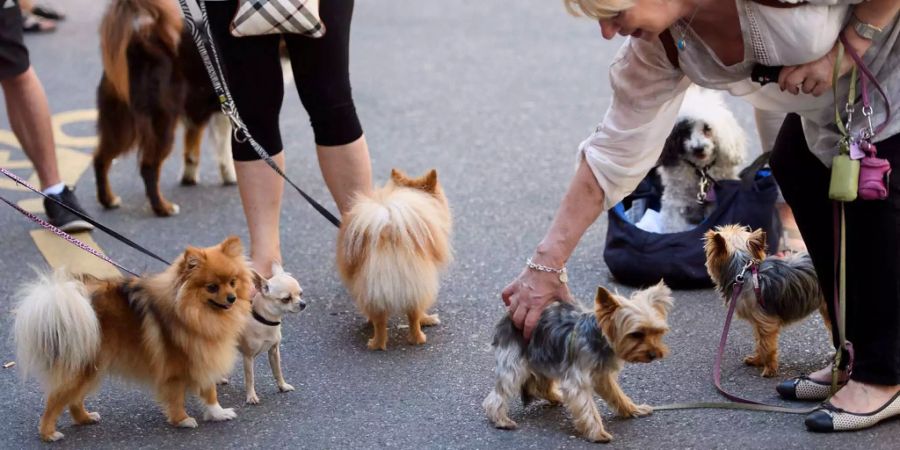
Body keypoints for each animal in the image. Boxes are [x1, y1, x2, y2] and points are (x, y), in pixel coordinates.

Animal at [14, 237, 253, 442]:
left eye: (232, 282)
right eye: (212, 287)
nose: (232, 298)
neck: (193, 312)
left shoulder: (202, 357)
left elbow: (209, 391)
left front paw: (218, 413)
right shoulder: (178, 367)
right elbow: (178, 397)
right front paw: (182, 420)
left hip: (91, 368)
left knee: (73, 400)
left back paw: (85, 418)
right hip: (84, 368)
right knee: (55, 400)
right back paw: (48, 433)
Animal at [95, 0, 234, 218]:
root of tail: (139, 46)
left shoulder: (199, 113)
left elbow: (192, 149)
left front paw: (189, 177)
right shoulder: (227, 110)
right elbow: (226, 148)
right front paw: (230, 176)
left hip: (121, 124)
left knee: (101, 159)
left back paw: (108, 200)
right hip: (162, 124)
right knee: (148, 166)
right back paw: (162, 207)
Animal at [708, 224, 828, 376]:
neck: (744, 272)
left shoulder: (766, 322)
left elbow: (767, 345)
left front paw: (769, 369)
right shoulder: (758, 322)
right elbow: (759, 342)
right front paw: (757, 360)